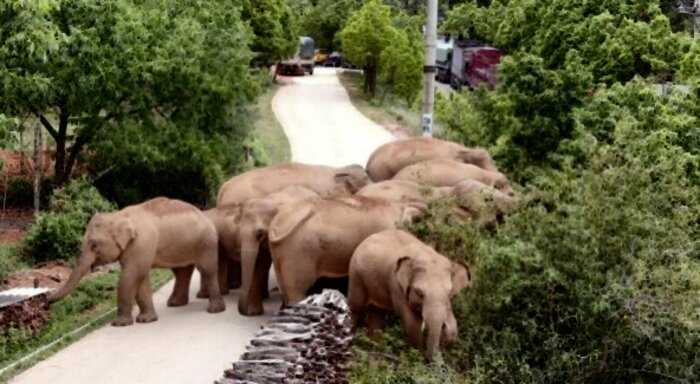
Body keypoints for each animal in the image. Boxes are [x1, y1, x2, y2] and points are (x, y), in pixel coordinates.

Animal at [49, 198, 224, 328]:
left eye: (94, 245)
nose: (45, 300)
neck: (119, 215)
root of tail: (205, 214)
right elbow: (141, 277)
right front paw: (146, 320)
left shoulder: (141, 242)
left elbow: (132, 275)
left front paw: (120, 324)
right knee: (181, 272)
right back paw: (175, 304)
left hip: (206, 242)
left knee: (207, 270)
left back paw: (214, 310)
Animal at [266, 196, 422, 304]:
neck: (398, 205)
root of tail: (279, 222)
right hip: (299, 252)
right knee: (297, 290)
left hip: (280, 252)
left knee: (285, 290)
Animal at [348, 230, 470, 362]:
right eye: (419, 293)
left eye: (449, 293)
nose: (444, 325)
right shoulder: (396, 285)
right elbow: (412, 324)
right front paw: (419, 357)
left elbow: (453, 329)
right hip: (355, 274)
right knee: (355, 308)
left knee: (377, 313)